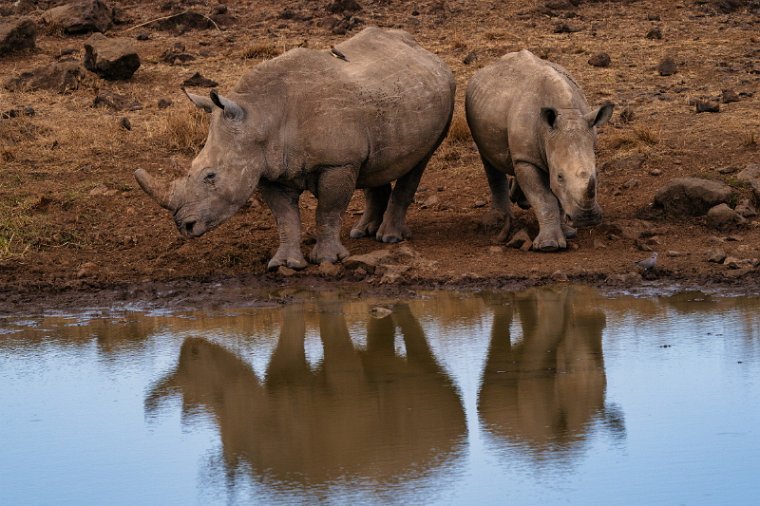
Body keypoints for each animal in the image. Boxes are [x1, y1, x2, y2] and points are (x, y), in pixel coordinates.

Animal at [134, 26, 454, 268]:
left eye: (211, 176)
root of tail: (424, 50)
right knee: (376, 163)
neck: (260, 116)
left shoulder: (337, 163)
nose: (184, 226)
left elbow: (328, 210)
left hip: (442, 93)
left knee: (419, 161)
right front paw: (284, 264)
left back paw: (389, 238)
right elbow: (285, 218)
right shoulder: (268, 169)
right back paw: (362, 232)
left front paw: (326, 260)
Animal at [466, 49, 616, 251]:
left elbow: (555, 195)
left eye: (597, 174)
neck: (566, 113)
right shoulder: (526, 159)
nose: (587, 218)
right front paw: (549, 246)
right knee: (489, 160)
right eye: (560, 176)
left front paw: (568, 233)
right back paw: (499, 219)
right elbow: (544, 197)